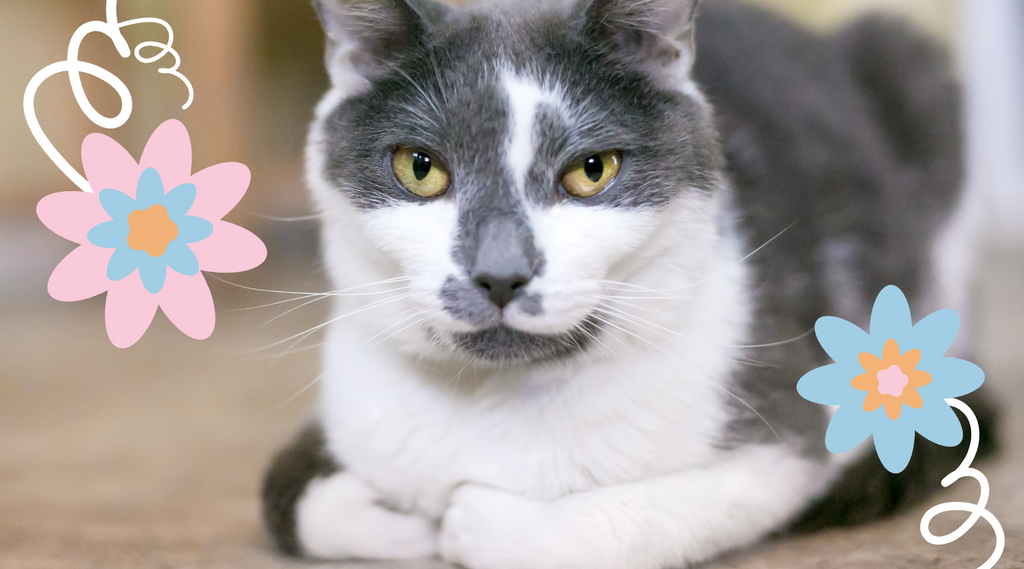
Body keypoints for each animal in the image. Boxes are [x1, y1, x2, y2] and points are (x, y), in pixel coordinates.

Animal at [260, 0, 995, 564]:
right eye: (420, 167)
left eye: (592, 170)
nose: (500, 273)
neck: (500, 405)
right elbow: (290, 498)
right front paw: (403, 521)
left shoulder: (782, 437)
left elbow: (641, 516)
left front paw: (471, 521)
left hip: (912, 70)